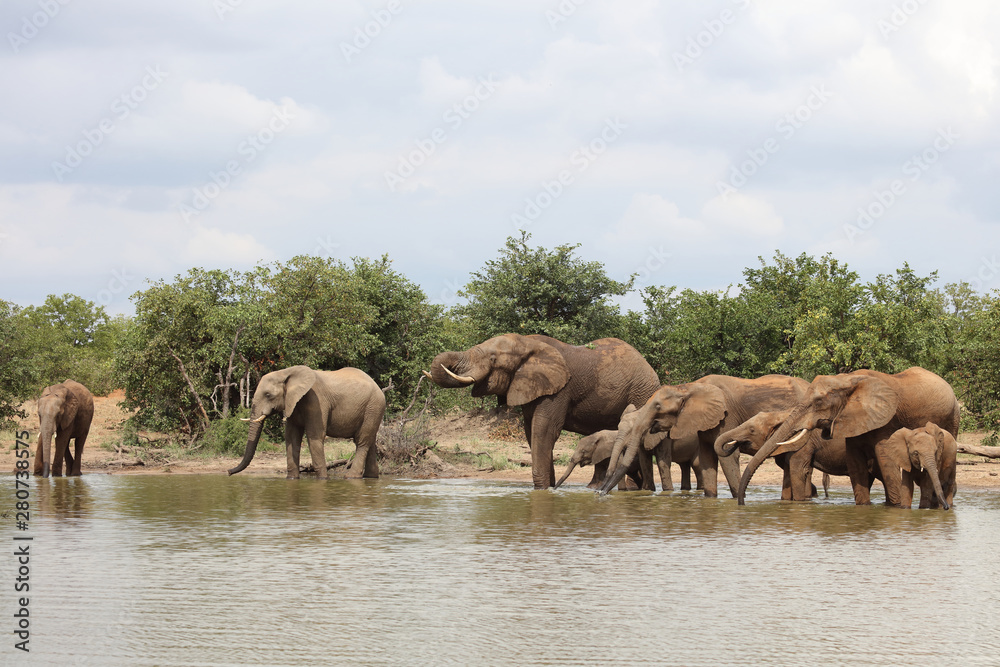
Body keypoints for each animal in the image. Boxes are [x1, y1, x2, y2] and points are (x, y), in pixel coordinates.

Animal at [228, 366, 386, 480]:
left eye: (268, 395)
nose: (229, 472)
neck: (286, 373)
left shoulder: (317, 402)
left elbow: (314, 437)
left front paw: (323, 480)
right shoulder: (293, 403)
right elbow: (292, 437)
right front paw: (292, 479)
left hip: (373, 406)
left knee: (362, 441)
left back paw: (351, 477)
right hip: (373, 410)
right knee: (370, 441)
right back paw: (371, 477)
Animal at [424, 334, 661, 489]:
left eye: (493, 359)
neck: (527, 343)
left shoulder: (559, 390)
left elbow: (544, 430)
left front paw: (543, 490)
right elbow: (532, 433)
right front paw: (548, 489)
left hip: (642, 392)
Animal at [600, 374, 810, 497]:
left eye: (658, 407)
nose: (600, 493)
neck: (688, 387)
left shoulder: (726, 416)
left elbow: (726, 457)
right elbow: (707, 457)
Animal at [737, 367, 960, 506]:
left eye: (818, 402)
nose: (741, 503)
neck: (847, 380)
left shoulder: (887, 419)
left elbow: (886, 461)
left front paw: (895, 508)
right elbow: (855, 463)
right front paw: (864, 507)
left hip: (953, 418)